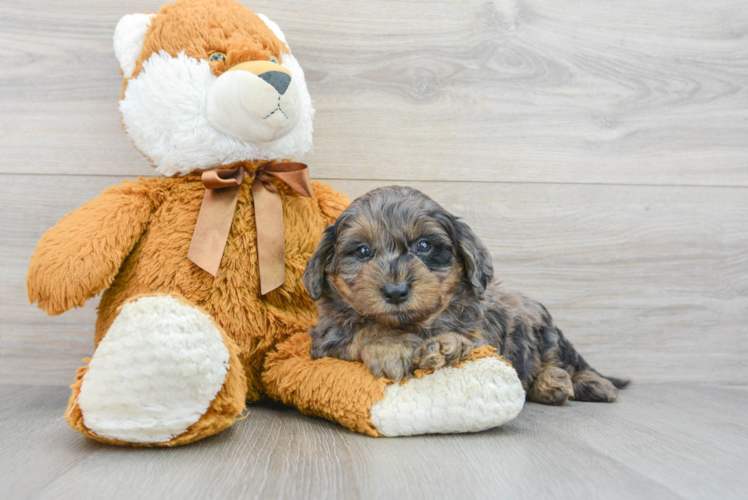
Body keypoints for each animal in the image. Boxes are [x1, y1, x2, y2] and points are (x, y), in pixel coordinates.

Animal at [300, 186, 628, 404]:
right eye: (362, 251)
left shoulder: (486, 340)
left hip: (543, 329)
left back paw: (572, 383)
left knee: (559, 361)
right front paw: (390, 346)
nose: (395, 291)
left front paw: (445, 345)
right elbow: (361, 326)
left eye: (424, 246)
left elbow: (466, 339)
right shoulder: (326, 338)